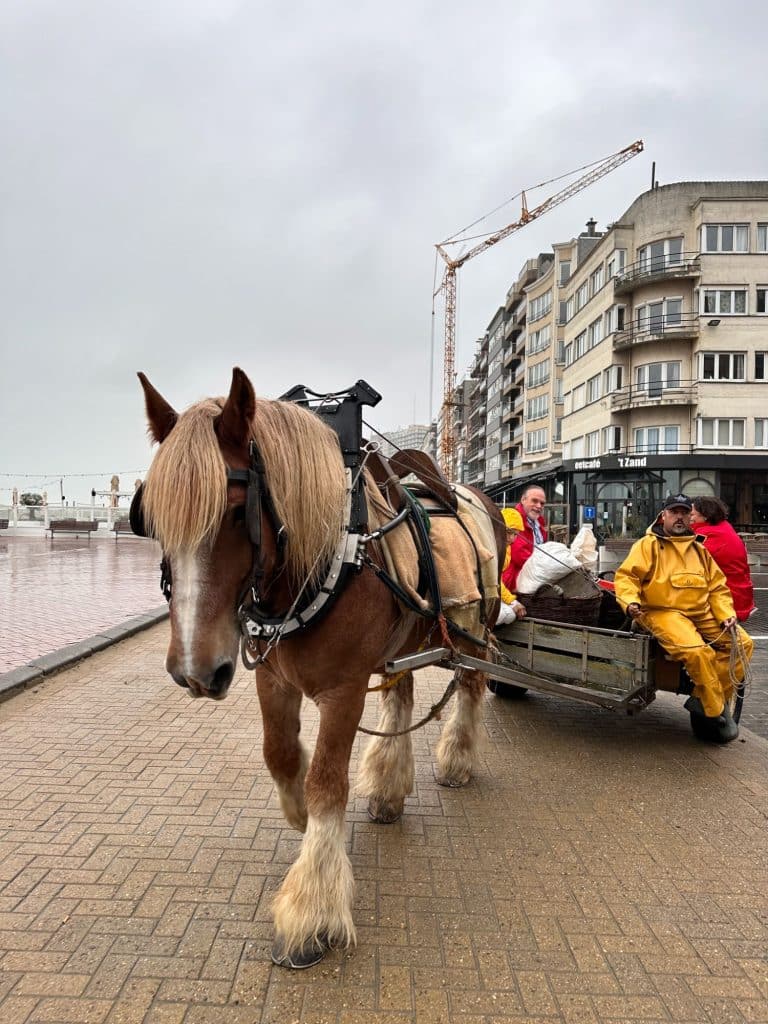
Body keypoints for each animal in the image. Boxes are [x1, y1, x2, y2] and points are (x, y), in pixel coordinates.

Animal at [137, 366, 512, 966]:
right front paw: (296, 814)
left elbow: (327, 782)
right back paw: (388, 788)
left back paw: (456, 760)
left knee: (472, 685)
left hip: (473, 630)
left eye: (237, 511)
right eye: (150, 521)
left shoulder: (344, 690)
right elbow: (281, 756)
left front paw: (312, 908)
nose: (195, 671)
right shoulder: (272, 678)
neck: (334, 557)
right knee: (401, 693)